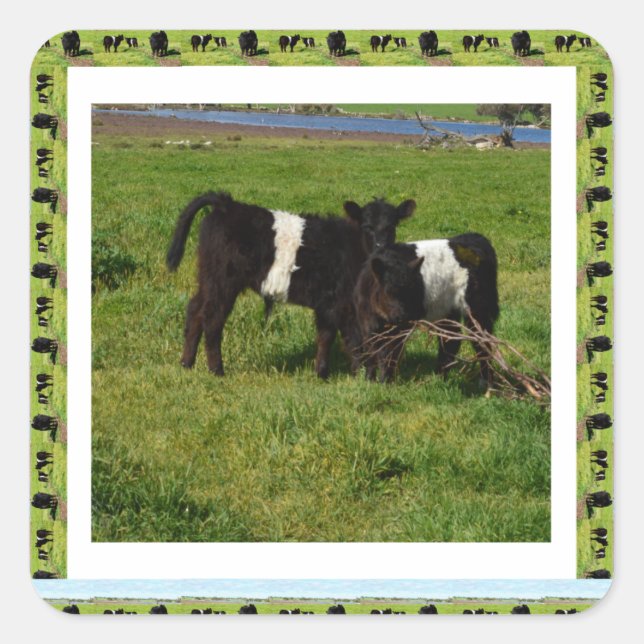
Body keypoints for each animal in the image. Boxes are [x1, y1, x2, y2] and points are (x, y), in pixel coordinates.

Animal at [166, 193, 412, 378]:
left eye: (392, 226)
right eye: (367, 226)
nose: (381, 247)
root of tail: (227, 204)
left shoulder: (327, 304)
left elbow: (325, 336)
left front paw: (321, 373)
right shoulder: (344, 305)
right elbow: (354, 340)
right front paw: (362, 376)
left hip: (208, 279)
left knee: (195, 311)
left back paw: (186, 363)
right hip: (223, 282)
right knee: (212, 319)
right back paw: (217, 370)